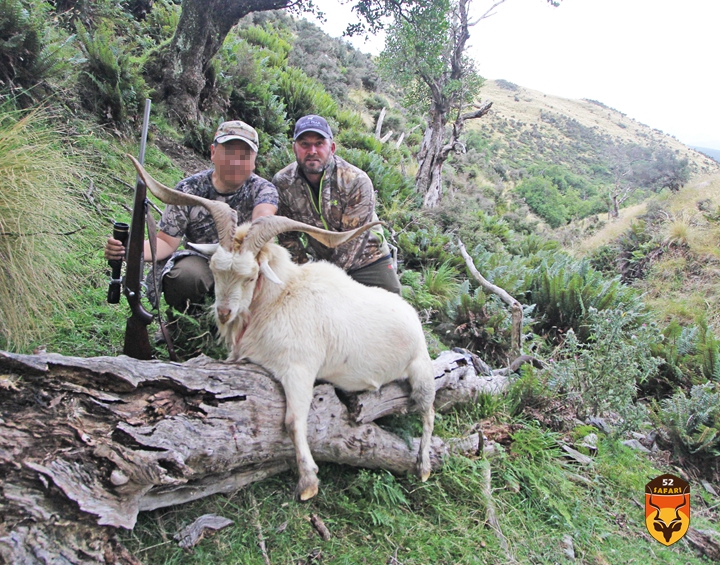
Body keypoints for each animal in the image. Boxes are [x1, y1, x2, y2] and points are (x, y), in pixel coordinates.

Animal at [131, 154, 436, 498]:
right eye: (215, 269)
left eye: (251, 276)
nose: (223, 313)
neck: (278, 299)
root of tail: (412, 315)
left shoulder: (299, 369)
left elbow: (292, 421)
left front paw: (308, 483)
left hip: (421, 370)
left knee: (428, 411)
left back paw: (424, 466)